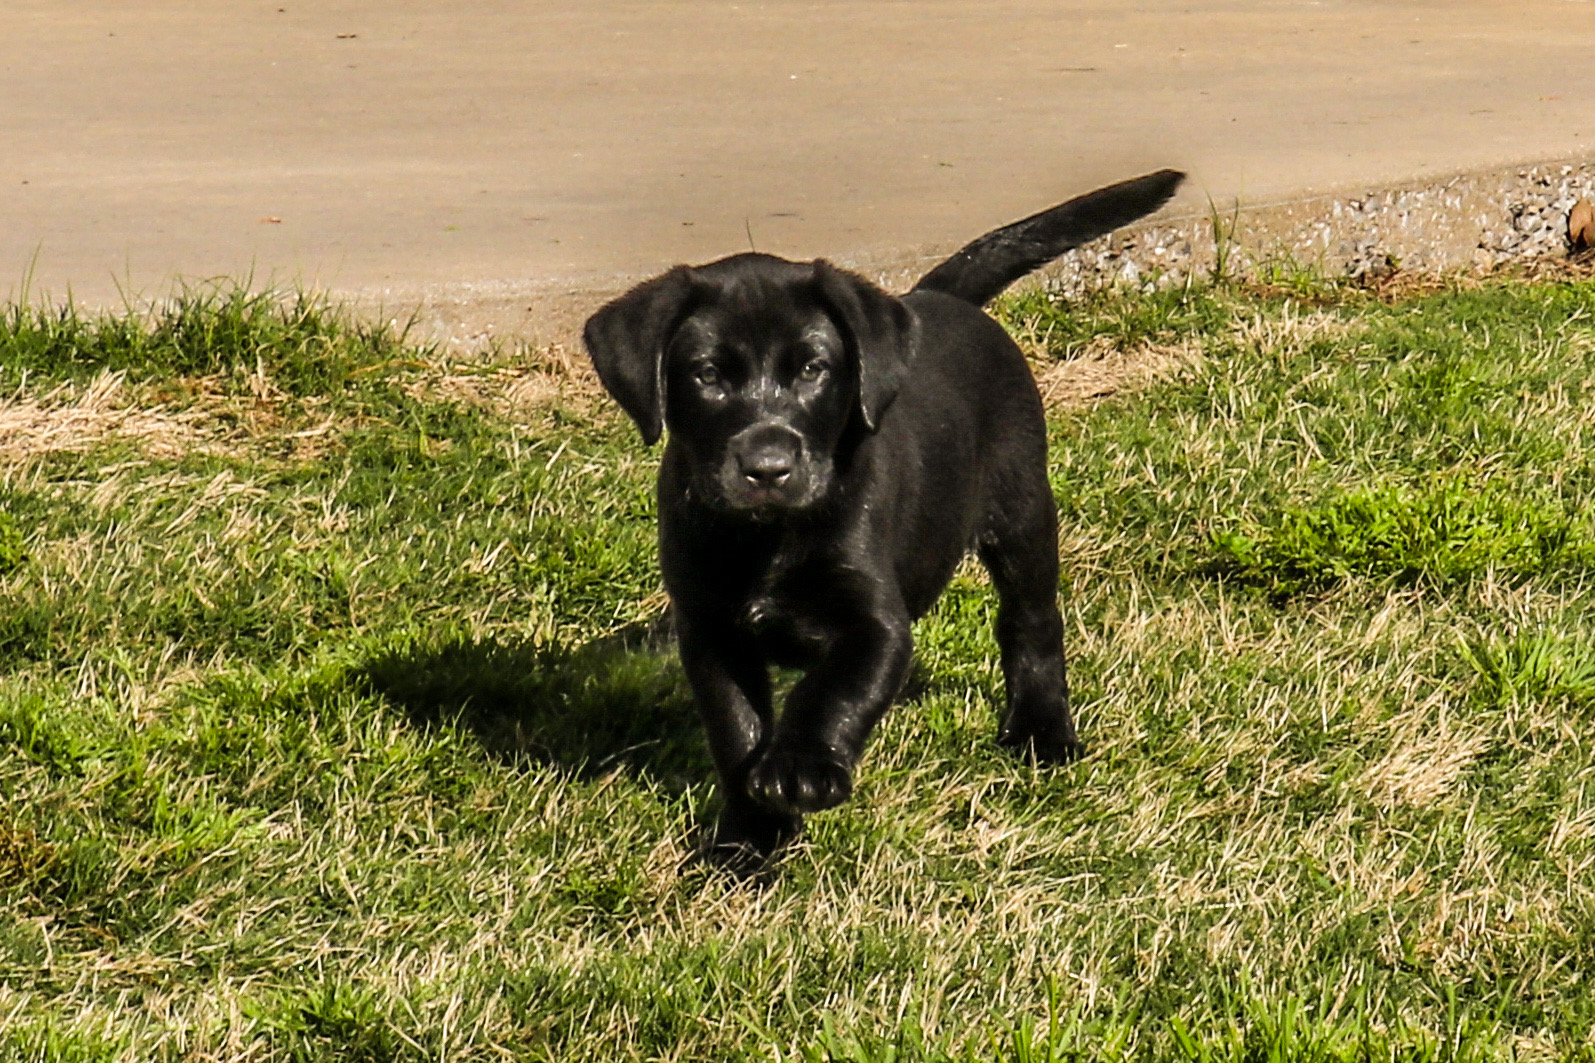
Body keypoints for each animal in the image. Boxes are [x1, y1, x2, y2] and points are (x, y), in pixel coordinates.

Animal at [586, 167, 1186, 861]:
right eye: (707, 375)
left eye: (813, 369)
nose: (768, 467)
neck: (769, 539)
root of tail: (933, 299)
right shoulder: (710, 628)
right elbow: (736, 731)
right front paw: (750, 840)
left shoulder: (876, 621)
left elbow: (833, 688)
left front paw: (801, 766)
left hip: (1023, 511)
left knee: (1031, 623)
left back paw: (1042, 732)